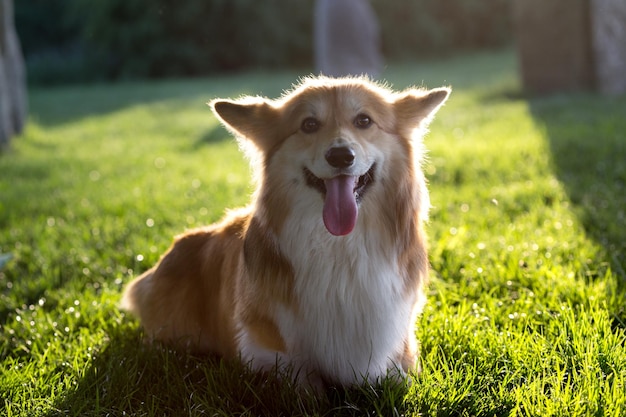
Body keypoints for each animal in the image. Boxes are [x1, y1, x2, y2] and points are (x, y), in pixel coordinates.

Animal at [119, 75, 446, 390]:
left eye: (364, 120)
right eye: (309, 124)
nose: (341, 156)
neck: (339, 246)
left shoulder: (398, 344)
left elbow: (399, 378)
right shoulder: (262, 349)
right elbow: (305, 382)